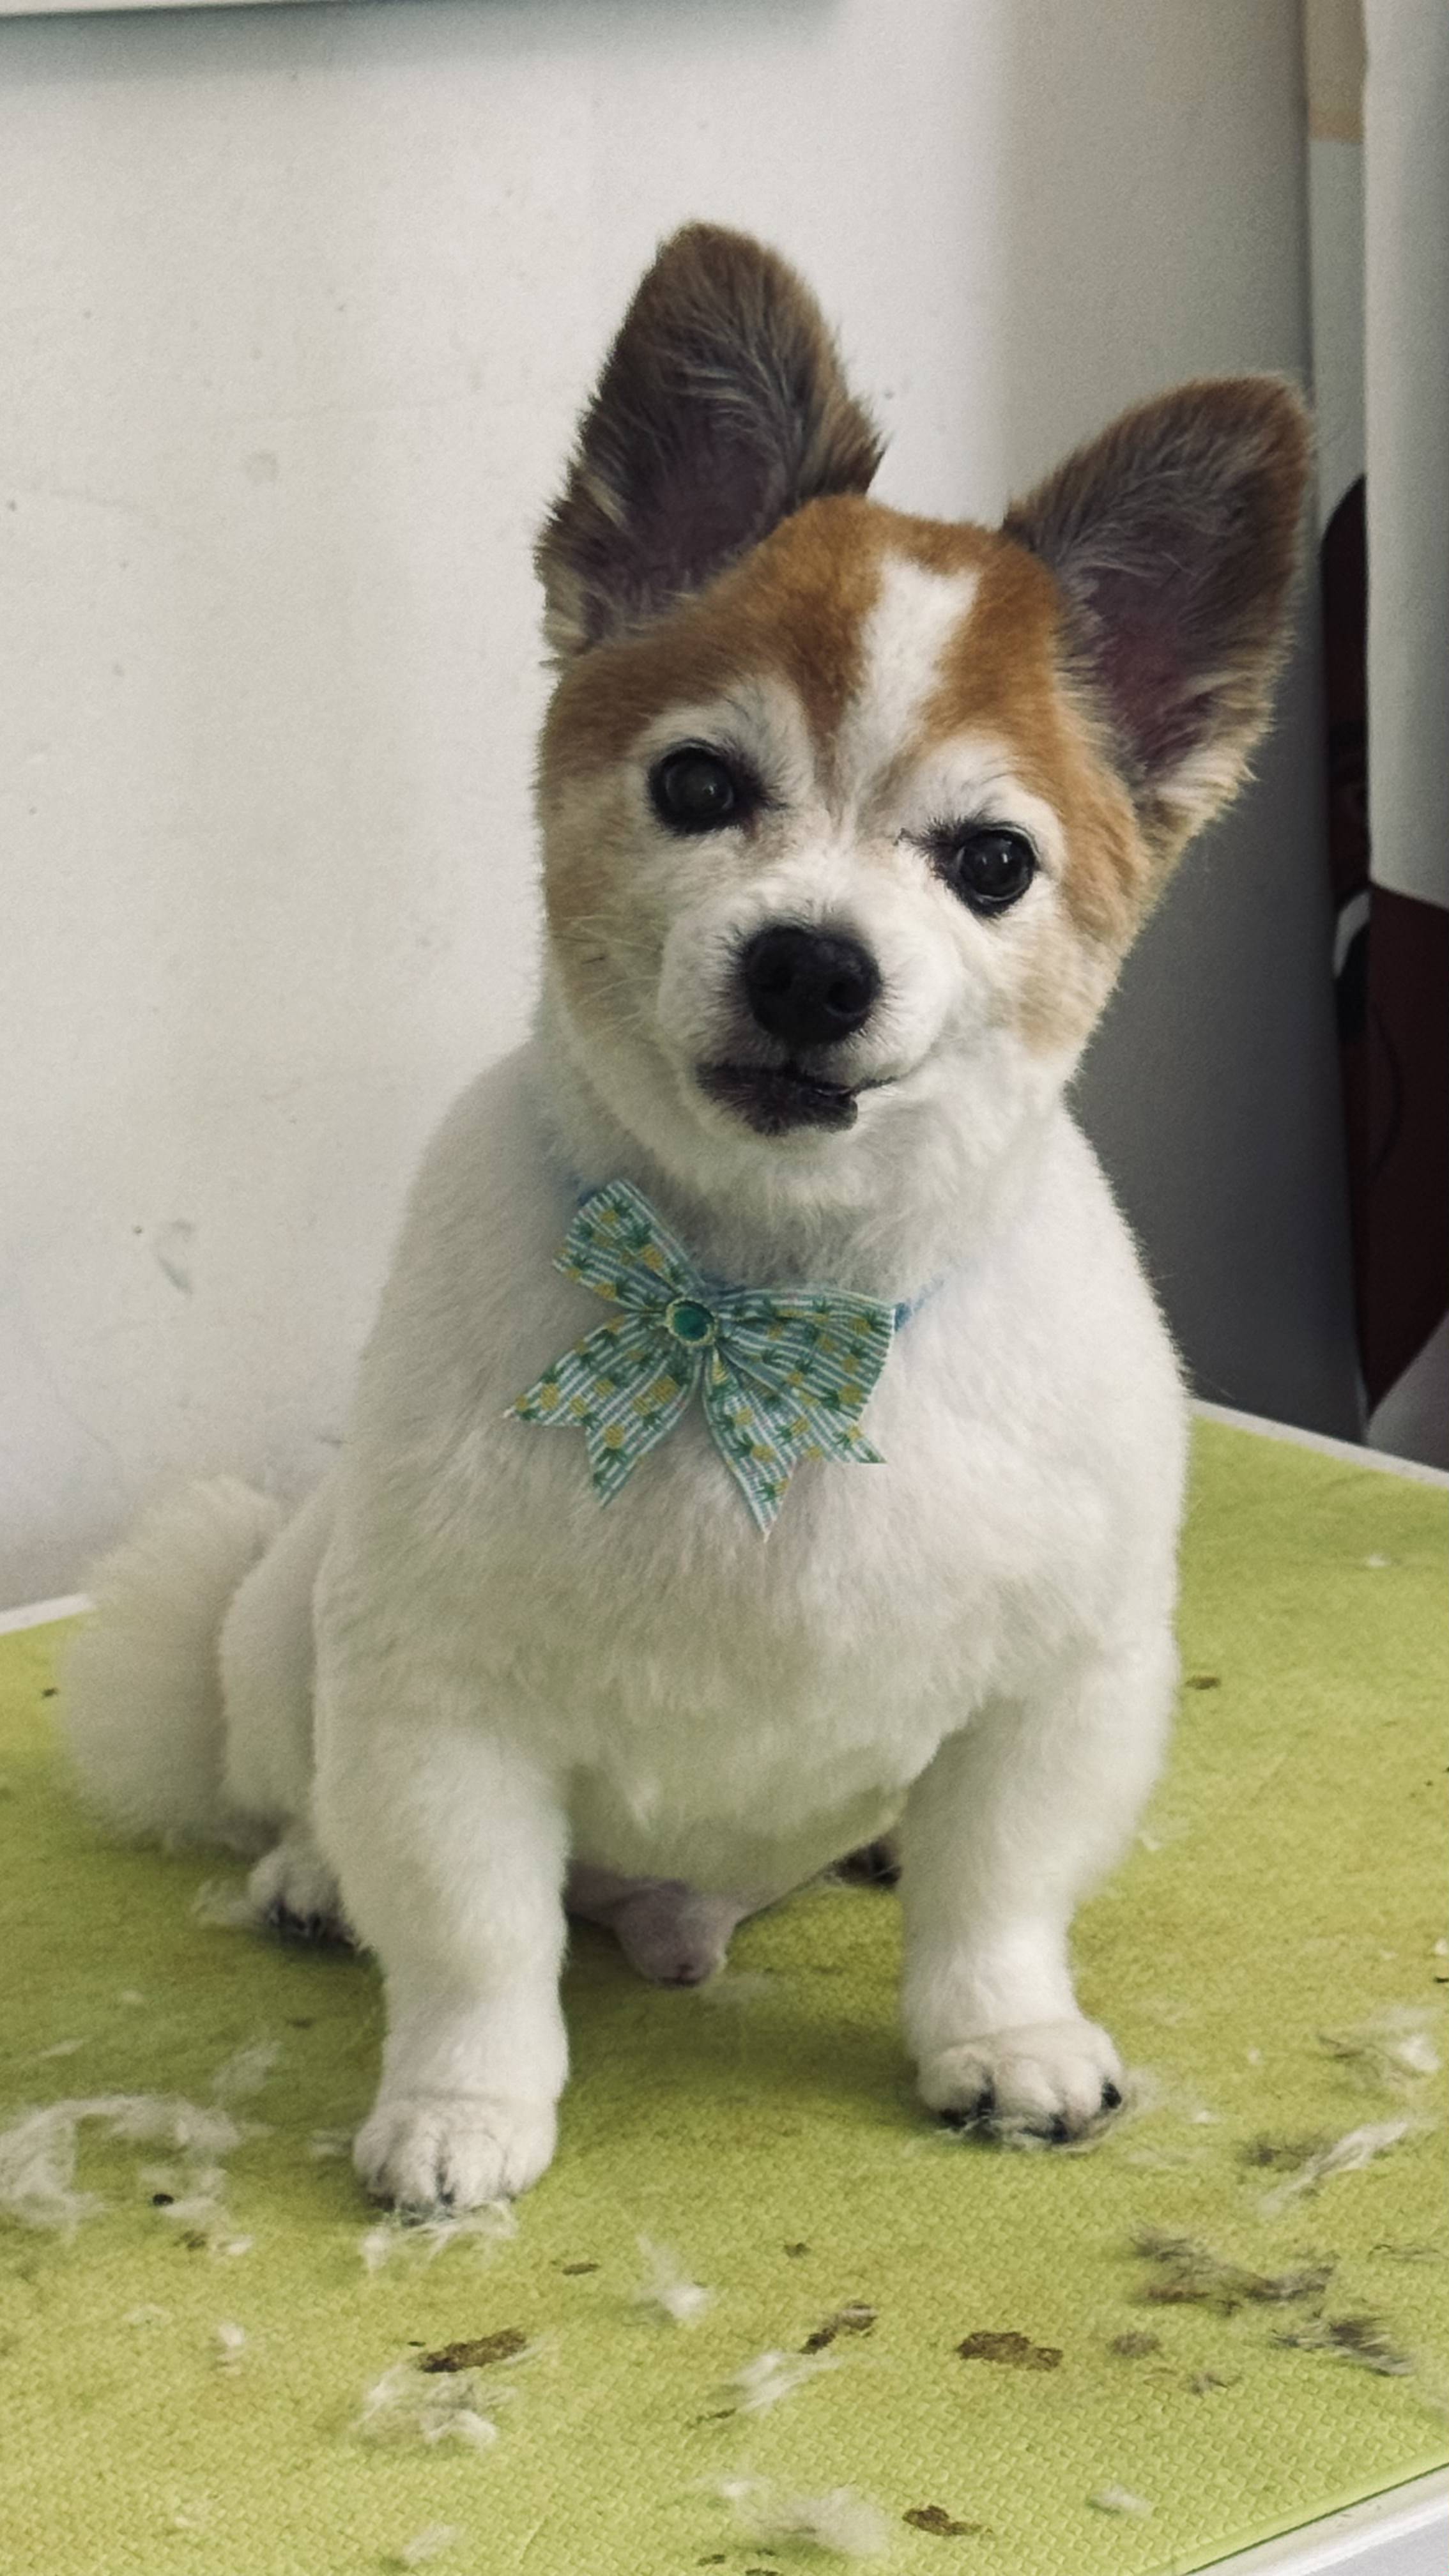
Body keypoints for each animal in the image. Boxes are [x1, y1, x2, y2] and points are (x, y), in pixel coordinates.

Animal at [61, 226, 1310, 2215]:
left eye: (991, 864)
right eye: (698, 787)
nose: (812, 963)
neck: (765, 1302)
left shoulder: (1062, 1687)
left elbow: (999, 1898)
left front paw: (1004, 2040)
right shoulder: (442, 1706)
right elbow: (476, 1940)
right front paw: (461, 2110)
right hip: (279, 1622)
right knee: (306, 1785)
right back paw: (315, 1877)